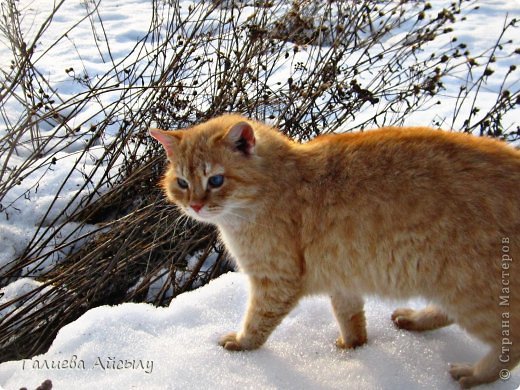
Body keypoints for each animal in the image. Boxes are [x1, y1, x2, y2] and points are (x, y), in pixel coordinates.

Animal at [148, 114, 516, 388]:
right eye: (182, 183)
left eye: (216, 181)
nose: (195, 205)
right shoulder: (344, 278)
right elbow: (350, 319)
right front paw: (352, 349)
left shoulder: (277, 281)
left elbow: (257, 322)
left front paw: (241, 345)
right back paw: (414, 320)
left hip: (469, 291)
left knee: (511, 343)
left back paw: (473, 375)